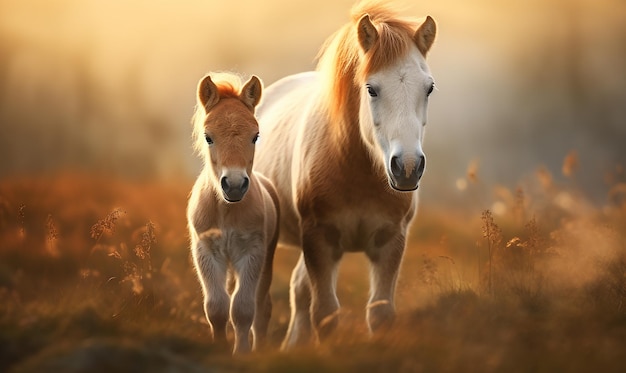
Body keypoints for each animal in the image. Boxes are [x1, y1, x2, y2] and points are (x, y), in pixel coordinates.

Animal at [186, 73, 280, 354]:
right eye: (208, 137)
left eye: (255, 136)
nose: (235, 185)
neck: (226, 210)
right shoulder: (206, 252)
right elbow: (217, 307)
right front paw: (220, 349)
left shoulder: (252, 253)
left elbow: (243, 309)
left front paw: (243, 353)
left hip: (266, 260)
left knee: (262, 307)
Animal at [254, 0, 434, 348]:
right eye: (371, 89)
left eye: (429, 88)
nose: (407, 167)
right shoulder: (319, 240)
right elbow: (325, 313)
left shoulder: (391, 241)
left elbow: (380, 313)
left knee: (298, 289)